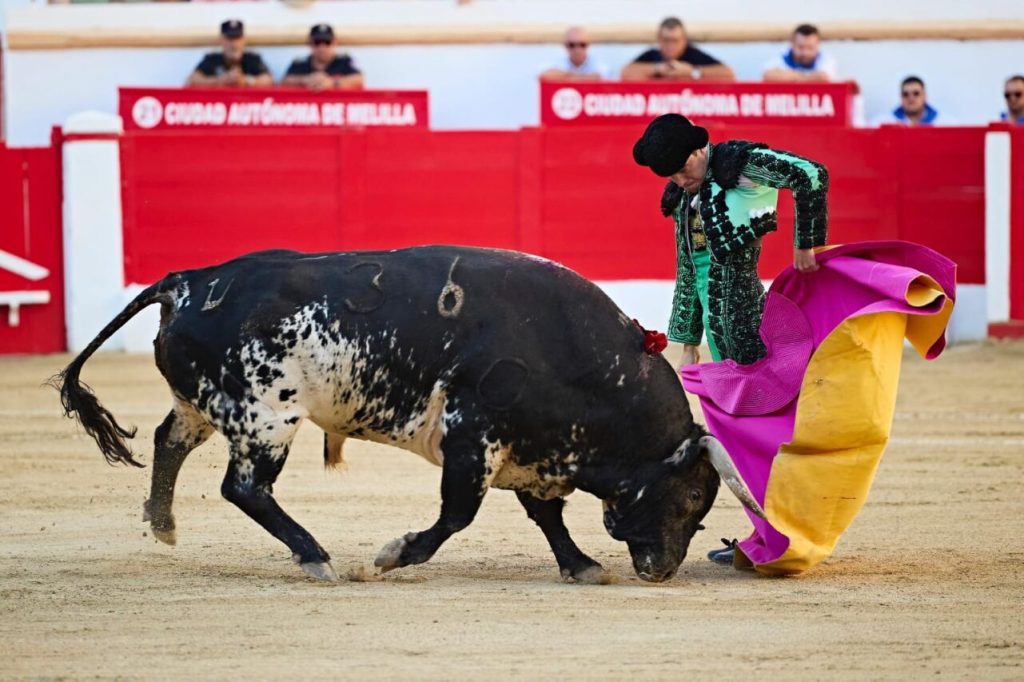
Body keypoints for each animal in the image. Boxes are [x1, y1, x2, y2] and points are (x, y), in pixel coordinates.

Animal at [56, 246, 761, 581]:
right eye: (687, 499)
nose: (662, 570)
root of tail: (187, 281)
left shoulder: (532, 453)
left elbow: (545, 516)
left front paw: (581, 566)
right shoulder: (473, 441)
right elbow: (457, 516)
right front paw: (394, 554)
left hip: (207, 404)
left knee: (169, 438)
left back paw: (163, 522)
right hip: (266, 417)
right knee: (245, 487)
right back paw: (315, 557)